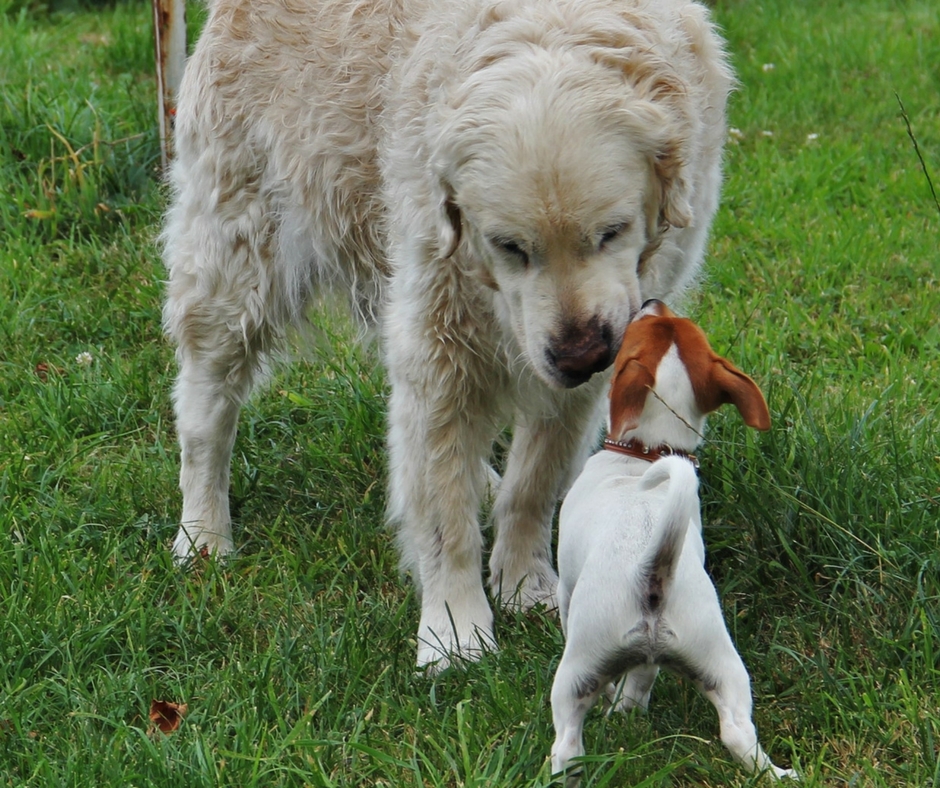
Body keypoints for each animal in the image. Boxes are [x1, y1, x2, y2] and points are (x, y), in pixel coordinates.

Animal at [162, 0, 736, 672]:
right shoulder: (440, 343)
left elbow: (533, 483)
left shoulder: (587, 365)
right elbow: (442, 511)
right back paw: (203, 533)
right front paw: (455, 630)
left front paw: (523, 584)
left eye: (612, 232)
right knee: (205, 412)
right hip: (235, 264)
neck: (554, 25)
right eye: (509, 247)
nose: (581, 355)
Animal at [552, 300, 792, 780]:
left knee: (567, 742)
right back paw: (779, 775)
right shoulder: (648, 666)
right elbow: (635, 687)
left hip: (576, 668)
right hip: (723, 664)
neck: (649, 451)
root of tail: (653, 573)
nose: (651, 302)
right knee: (738, 733)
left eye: (638, 328)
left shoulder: (565, 589)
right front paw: (623, 712)